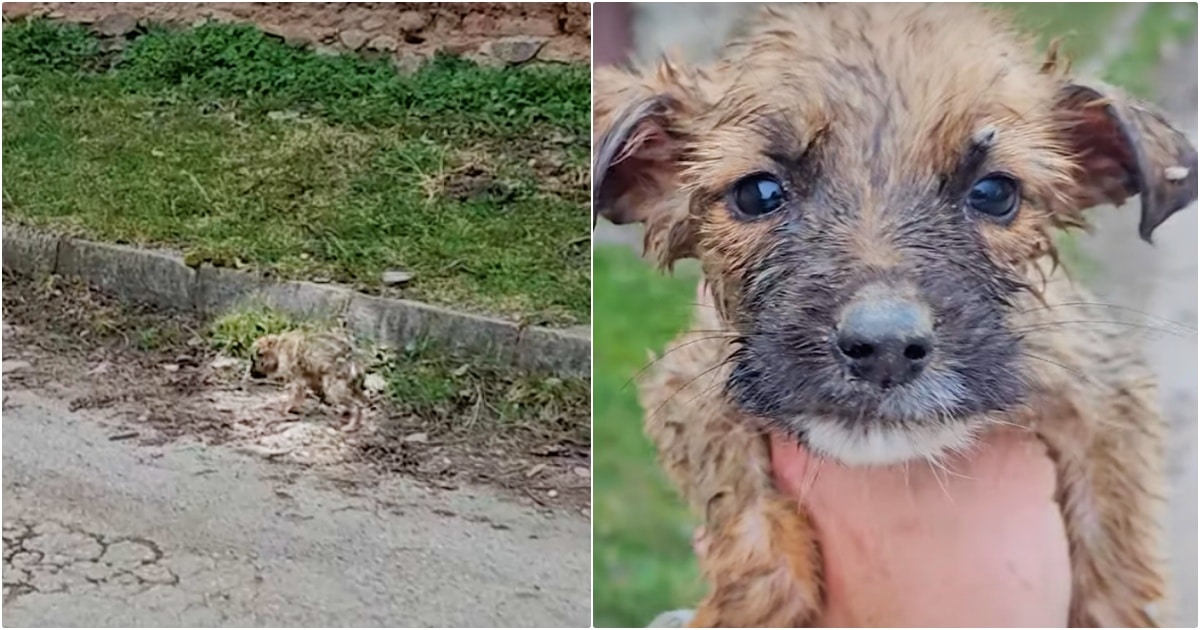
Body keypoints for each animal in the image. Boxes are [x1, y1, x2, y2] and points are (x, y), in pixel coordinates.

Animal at [592, 3, 1200, 624]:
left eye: (995, 192)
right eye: (758, 192)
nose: (884, 348)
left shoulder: (1105, 392)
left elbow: (1115, 567)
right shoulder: (691, 384)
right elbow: (750, 524)